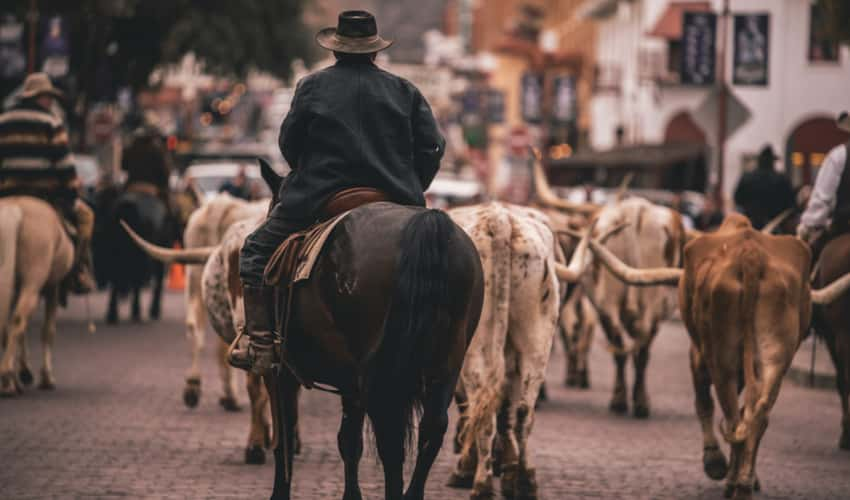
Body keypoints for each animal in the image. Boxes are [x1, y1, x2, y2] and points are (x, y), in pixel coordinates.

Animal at [258, 162, 480, 498]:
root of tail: (427, 224)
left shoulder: (282, 370)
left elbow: (286, 434)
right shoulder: (351, 381)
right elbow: (350, 441)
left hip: (378, 371)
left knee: (390, 439)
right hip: (444, 364)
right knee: (432, 429)